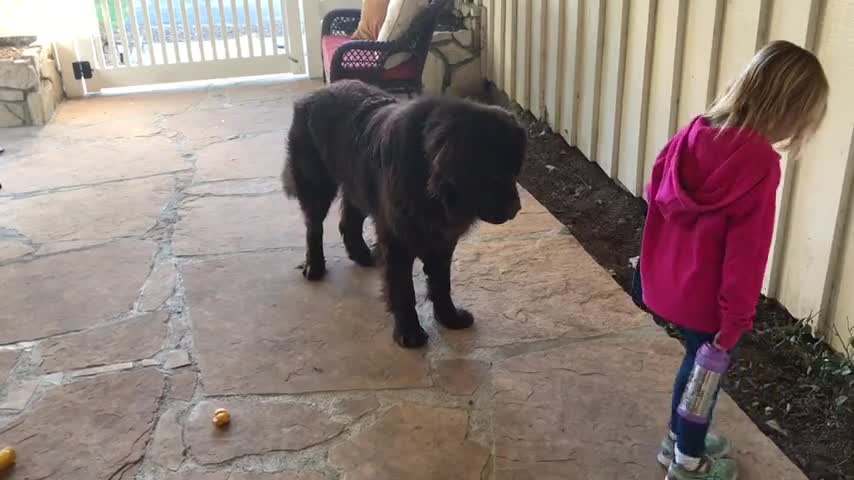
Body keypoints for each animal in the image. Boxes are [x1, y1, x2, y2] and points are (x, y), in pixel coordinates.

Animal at [284, 80, 528, 346]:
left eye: (514, 170)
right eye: (491, 172)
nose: (516, 208)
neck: (431, 186)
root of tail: (315, 93)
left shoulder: (442, 240)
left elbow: (441, 283)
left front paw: (450, 317)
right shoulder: (398, 240)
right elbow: (403, 290)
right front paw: (409, 332)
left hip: (357, 184)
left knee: (349, 221)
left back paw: (363, 255)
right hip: (316, 183)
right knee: (314, 226)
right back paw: (315, 266)